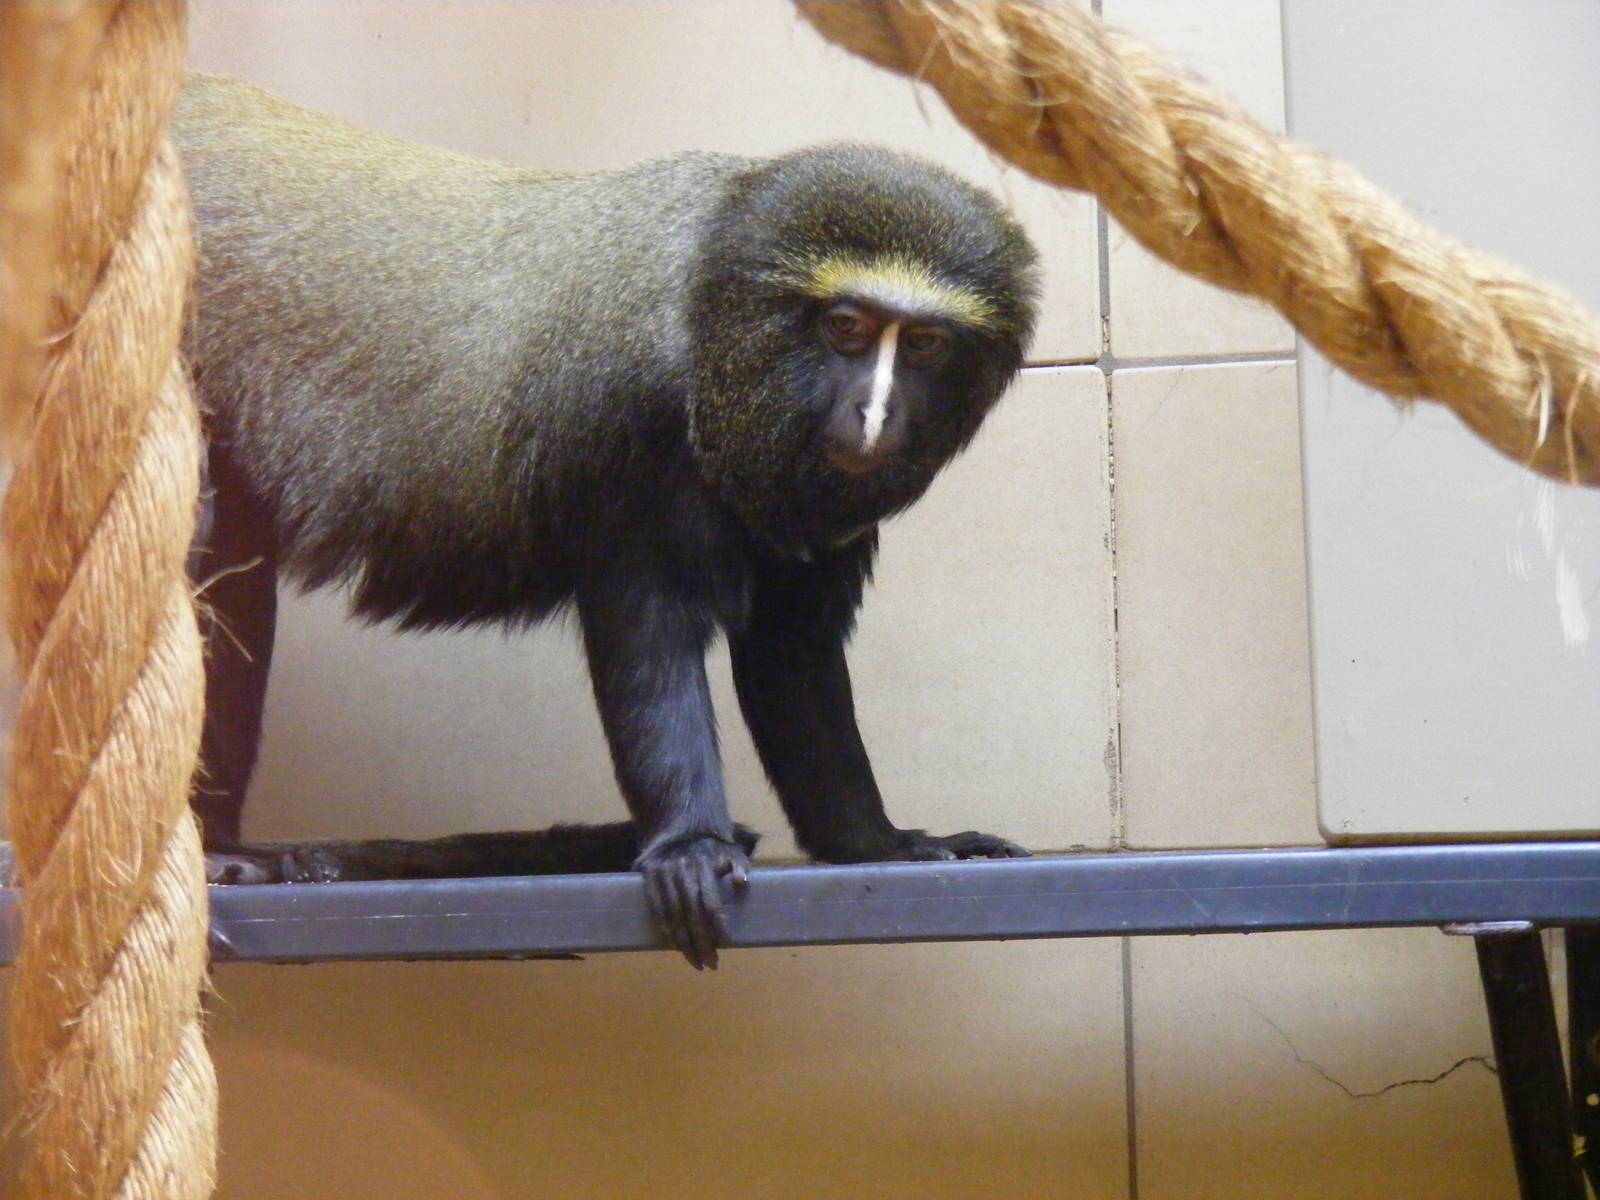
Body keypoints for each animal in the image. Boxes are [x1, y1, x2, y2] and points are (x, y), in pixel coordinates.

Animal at [176, 73, 1040, 969]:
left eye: (924, 344)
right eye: (847, 329)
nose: (874, 414)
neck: (711, 311)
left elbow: (789, 653)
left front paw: (879, 841)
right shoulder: (637, 430)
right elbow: (647, 633)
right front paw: (690, 844)